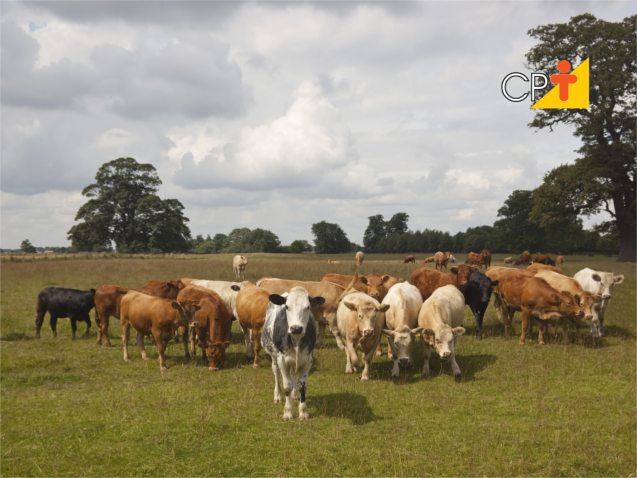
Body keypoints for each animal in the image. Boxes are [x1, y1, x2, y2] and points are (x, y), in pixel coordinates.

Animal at [260, 288, 326, 418]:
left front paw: (303, 411)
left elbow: (302, 386)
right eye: (287, 306)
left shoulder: (308, 360)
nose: (296, 328)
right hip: (274, 356)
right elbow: (287, 386)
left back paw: (295, 395)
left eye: (308, 307)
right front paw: (288, 411)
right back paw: (278, 395)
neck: (296, 340)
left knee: (293, 374)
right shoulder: (282, 360)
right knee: (276, 372)